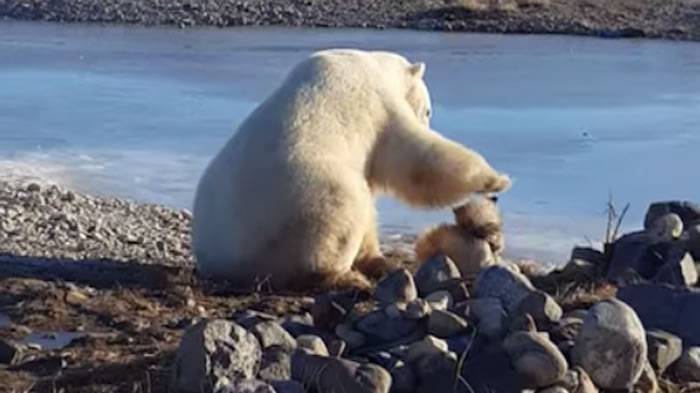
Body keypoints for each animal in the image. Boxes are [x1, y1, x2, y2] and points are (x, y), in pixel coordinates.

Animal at [191, 47, 508, 290]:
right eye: (428, 110)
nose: (427, 119)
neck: (373, 64)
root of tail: (227, 260)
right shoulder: (378, 105)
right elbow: (415, 157)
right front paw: (495, 180)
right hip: (304, 198)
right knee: (344, 210)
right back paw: (346, 277)